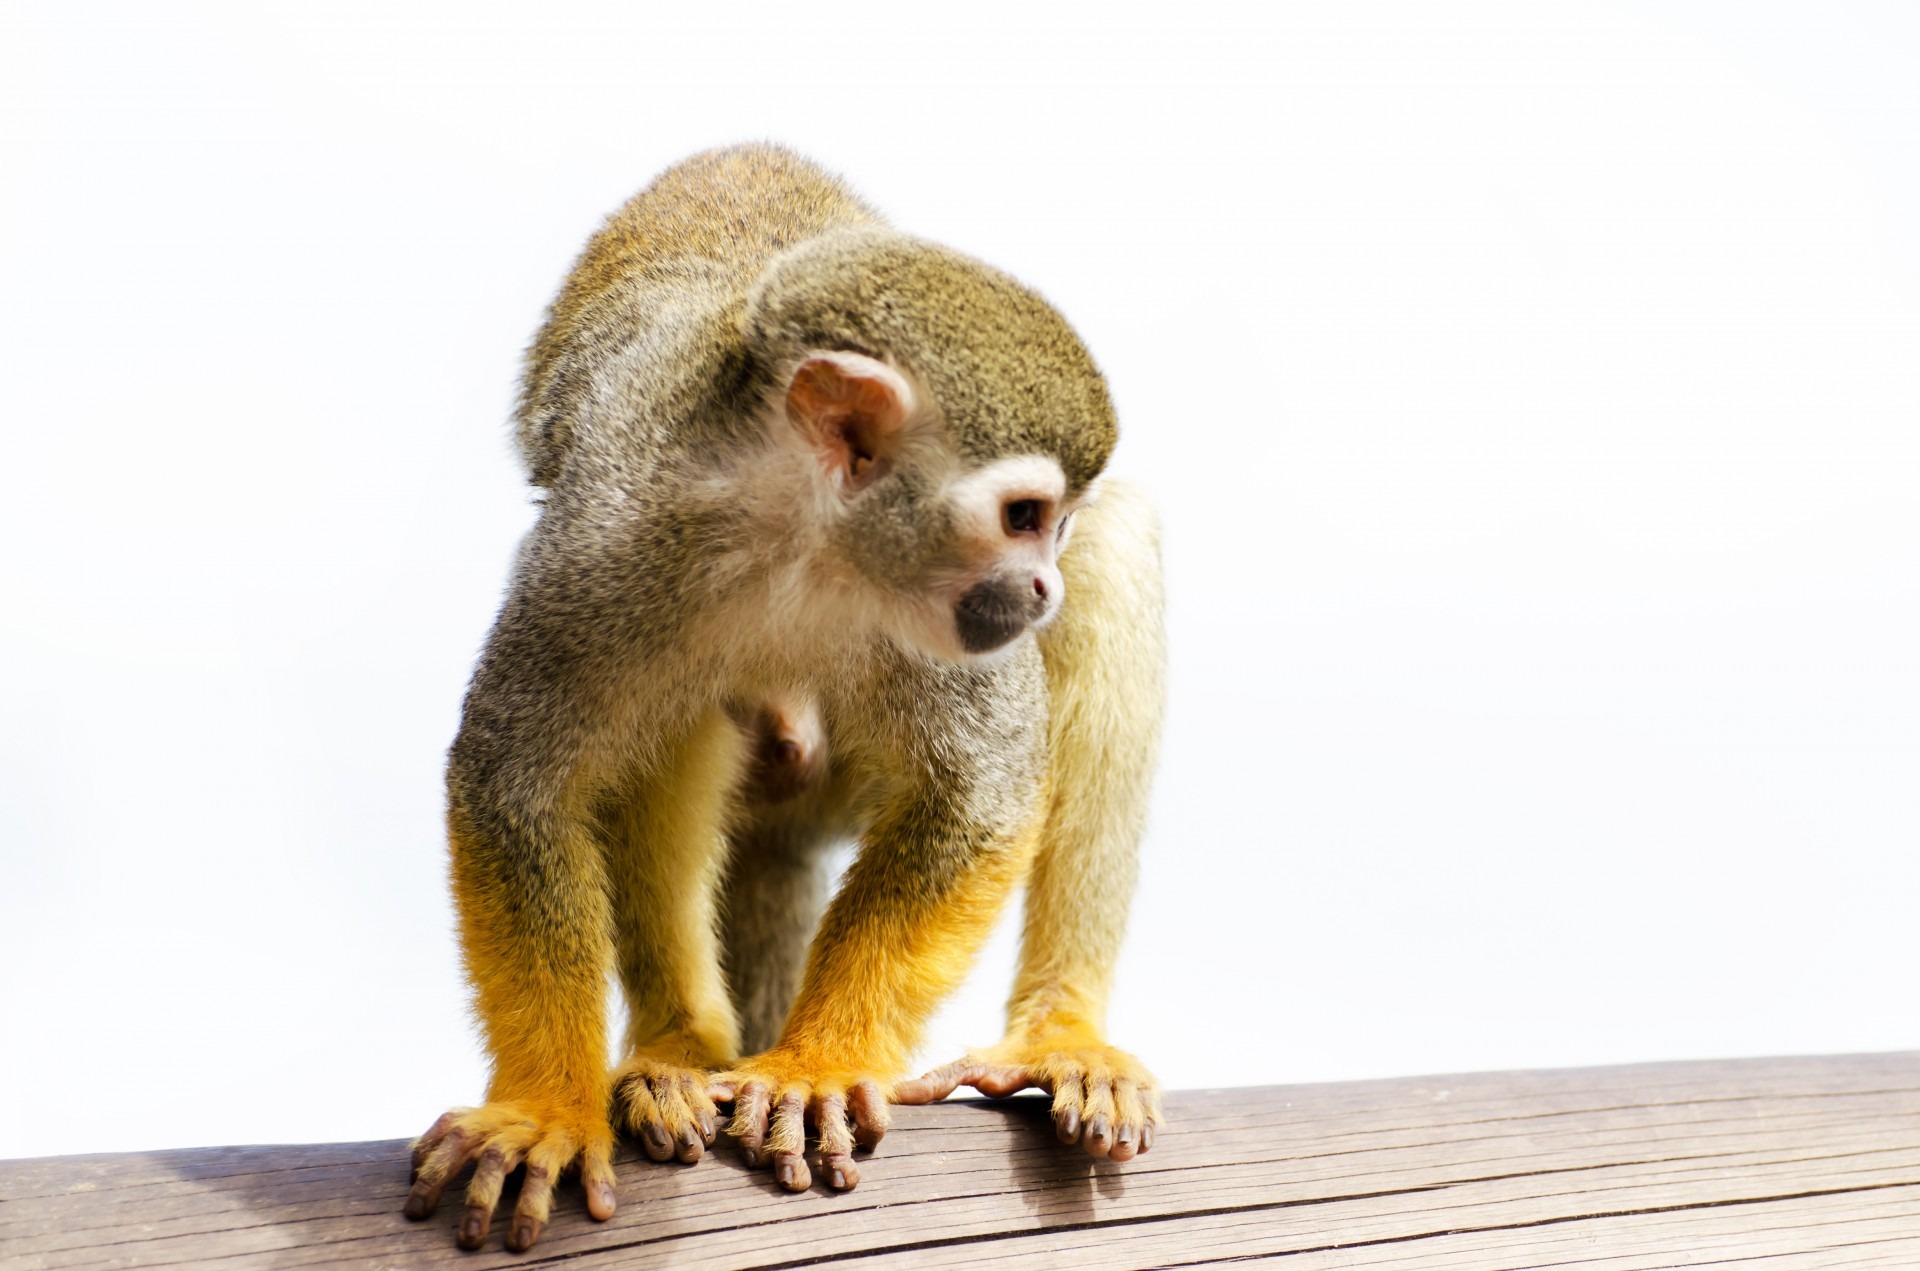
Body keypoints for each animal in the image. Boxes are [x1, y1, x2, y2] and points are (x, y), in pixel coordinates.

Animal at [403, 144, 1166, 1253]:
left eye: (1050, 524)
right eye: (1023, 515)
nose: (1039, 588)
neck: (804, 534)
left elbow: (981, 794)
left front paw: (816, 1064)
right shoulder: (607, 534)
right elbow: (517, 777)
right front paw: (546, 1105)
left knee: (1119, 550)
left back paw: (1059, 1033)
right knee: (682, 716)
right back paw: (679, 1047)